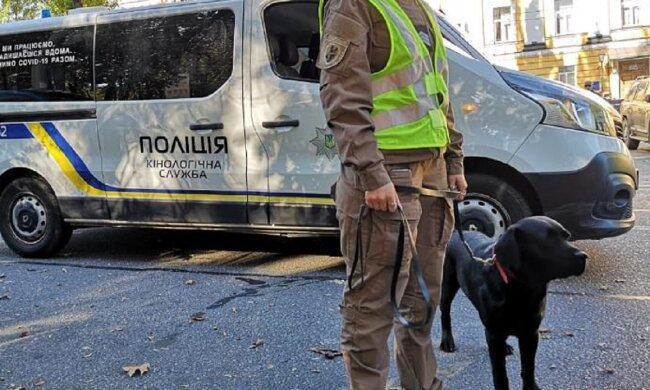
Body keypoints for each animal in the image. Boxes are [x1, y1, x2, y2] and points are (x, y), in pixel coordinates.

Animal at [438, 216, 584, 390]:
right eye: (547, 239)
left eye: (566, 236)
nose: (583, 256)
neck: (522, 289)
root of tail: (456, 233)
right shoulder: (495, 333)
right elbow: (500, 374)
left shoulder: (531, 332)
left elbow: (528, 367)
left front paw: (531, 387)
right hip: (447, 285)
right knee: (445, 313)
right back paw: (447, 341)